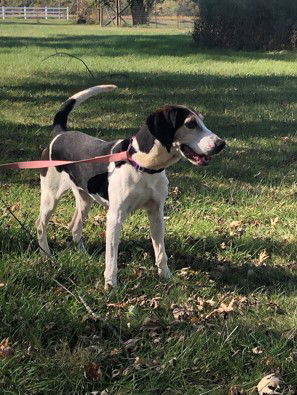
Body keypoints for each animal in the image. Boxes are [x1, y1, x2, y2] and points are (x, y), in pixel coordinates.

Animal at [35, 85, 224, 290]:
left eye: (202, 121)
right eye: (190, 124)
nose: (221, 144)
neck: (144, 165)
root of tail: (59, 134)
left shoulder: (156, 213)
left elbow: (161, 252)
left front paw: (166, 277)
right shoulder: (115, 216)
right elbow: (111, 258)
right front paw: (110, 285)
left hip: (84, 198)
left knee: (75, 225)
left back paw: (83, 255)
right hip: (50, 196)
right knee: (40, 224)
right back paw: (46, 255)